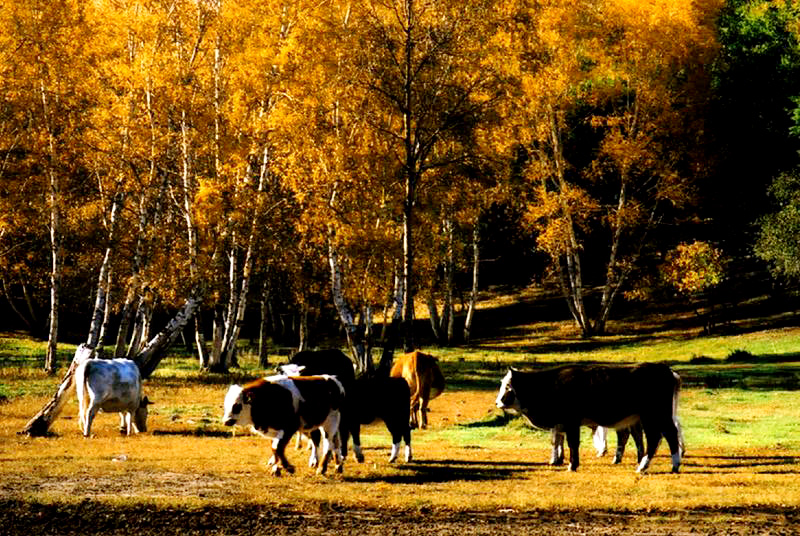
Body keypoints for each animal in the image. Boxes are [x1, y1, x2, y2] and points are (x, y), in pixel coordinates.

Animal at [496, 364, 684, 474]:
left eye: (508, 386)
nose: (497, 402)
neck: (551, 384)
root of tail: (667, 371)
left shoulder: (571, 422)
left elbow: (572, 443)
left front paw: (572, 465)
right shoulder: (561, 424)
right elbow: (558, 442)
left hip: (653, 416)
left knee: (660, 437)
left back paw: (648, 465)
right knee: (662, 436)